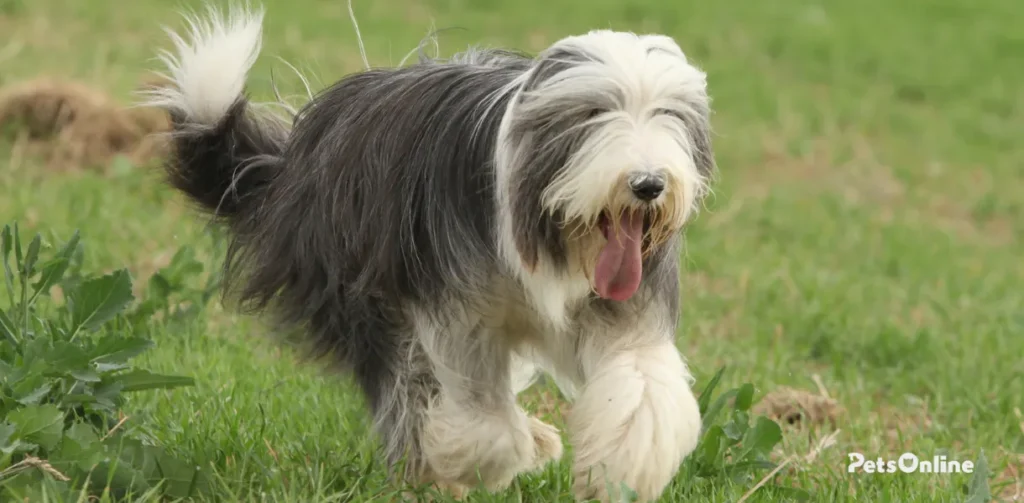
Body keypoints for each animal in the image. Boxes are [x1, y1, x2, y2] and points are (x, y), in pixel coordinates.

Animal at [146, 4, 720, 503]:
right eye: (595, 111)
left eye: (668, 114)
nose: (648, 184)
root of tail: (293, 163)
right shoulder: (457, 303)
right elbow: (477, 408)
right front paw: (473, 456)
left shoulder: (620, 301)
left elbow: (642, 384)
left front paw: (619, 470)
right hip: (358, 288)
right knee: (404, 380)